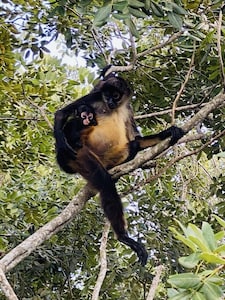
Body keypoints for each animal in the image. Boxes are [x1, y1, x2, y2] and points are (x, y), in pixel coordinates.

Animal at [54, 71, 185, 264]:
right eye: (107, 95)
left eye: (115, 95)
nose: (109, 101)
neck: (114, 108)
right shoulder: (95, 97)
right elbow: (61, 113)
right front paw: (62, 143)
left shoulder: (128, 108)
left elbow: (136, 138)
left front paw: (168, 132)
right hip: (83, 157)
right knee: (104, 181)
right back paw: (124, 237)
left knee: (134, 145)